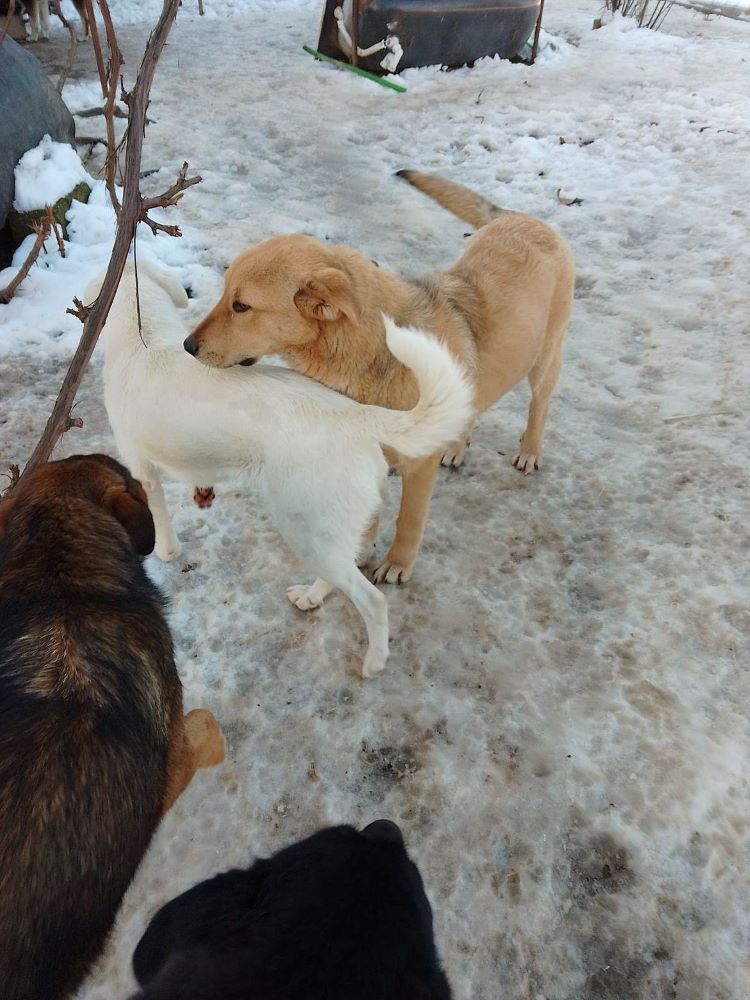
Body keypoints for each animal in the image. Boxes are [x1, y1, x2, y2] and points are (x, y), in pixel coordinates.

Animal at [92, 262, 470, 676]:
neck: (145, 339)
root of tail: (357, 417)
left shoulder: (143, 472)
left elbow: (160, 521)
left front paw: (166, 552)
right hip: (326, 532)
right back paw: (311, 597)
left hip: (305, 530)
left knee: (372, 600)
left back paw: (374, 660)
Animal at [187, 169, 576, 584]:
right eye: (226, 296)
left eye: (241, 306)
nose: (186, 345)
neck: (368, 356)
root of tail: (522, 218)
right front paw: (357, 556)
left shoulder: (418, 468)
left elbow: (409, 520)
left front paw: (397, 564)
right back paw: (457, 444)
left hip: (544, 361)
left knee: (539, 405)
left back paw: (529, 451)